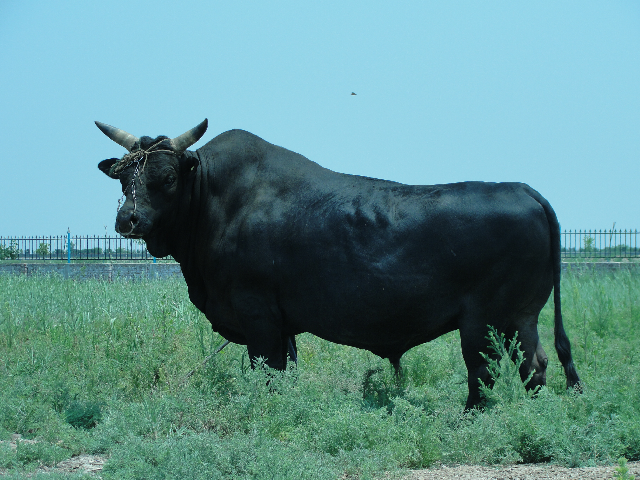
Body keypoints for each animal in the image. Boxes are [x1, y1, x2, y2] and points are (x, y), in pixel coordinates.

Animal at [97, 119, 584, 408]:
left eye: (166, 177)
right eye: (123, 178)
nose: (128, 219)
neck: (217, 199)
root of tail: (522, 189)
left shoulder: (257, 314)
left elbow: (267, 371)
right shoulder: (282, 323)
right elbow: (285, 371)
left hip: (487, 320)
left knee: (488, 371)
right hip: (519, 316)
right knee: (534, 364)